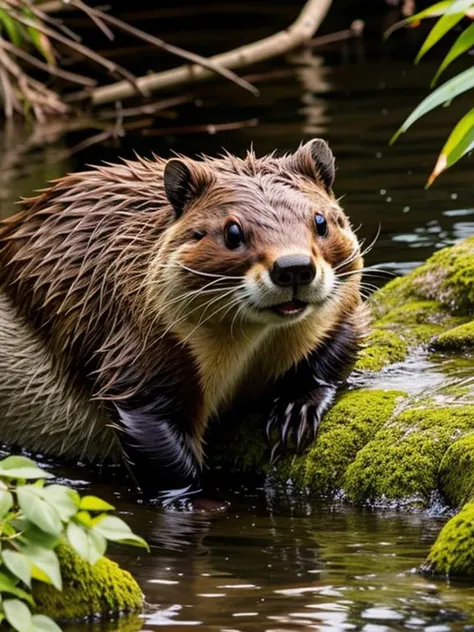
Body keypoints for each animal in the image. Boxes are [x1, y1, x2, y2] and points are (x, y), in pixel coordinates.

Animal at [0, 139, 366, 504]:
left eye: (321, 221)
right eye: (233, 232)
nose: (293, 267)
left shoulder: (342, 311)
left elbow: (341, 344)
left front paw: (295, 415)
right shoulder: (136, 346)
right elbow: (154, 440)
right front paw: (192, 500)